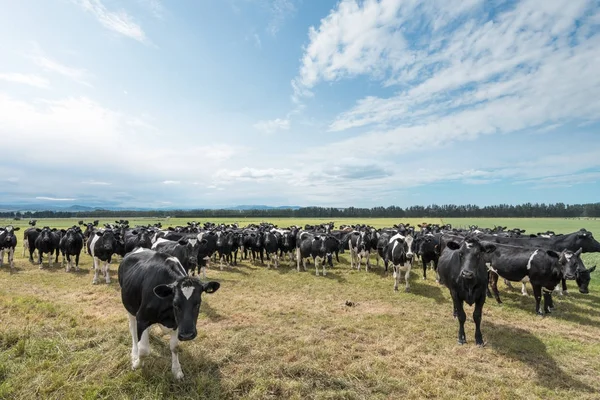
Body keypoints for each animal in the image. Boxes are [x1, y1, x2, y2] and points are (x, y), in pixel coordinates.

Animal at [118, 248, 220, 380]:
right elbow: (144, 350)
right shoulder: (142, 318)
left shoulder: (177, 323)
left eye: (198, 303)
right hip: (129, 306)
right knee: (133, 329)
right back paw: (134, 353)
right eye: (175, 304)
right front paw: (136, 364)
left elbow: (175, 347)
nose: (187, 335)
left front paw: (177, 370)